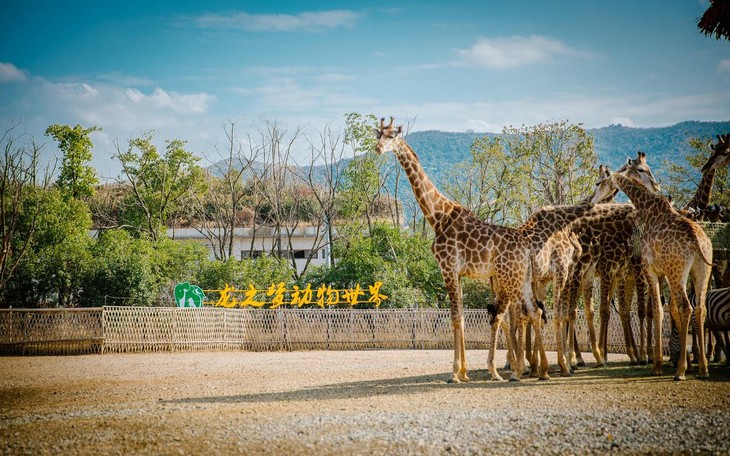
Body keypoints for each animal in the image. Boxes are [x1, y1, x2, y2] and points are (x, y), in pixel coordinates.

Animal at [372, 117, 544, 382]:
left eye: (392, 136)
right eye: (378, 134)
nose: (378, 148)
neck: (437, 216)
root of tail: (526, 247)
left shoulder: (448, 268)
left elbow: (454, 318)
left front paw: (454, 373)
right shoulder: (459, 273)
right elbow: (461, 318)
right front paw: (463, 373)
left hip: (509, 277)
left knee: (517, 314)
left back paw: (513, 370)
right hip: (520, 277)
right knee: (533, 311)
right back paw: (539, 371)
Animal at [584, 166, 712, 380]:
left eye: (599, 182)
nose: (592, 200)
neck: (648, 209)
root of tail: (697, 241)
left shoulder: (650, 269)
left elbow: (658, 310)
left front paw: (657, 363)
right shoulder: (660, 272)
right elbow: (663, 309)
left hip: (678, 272)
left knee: (688, 307)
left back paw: (680, 370)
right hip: (700, 272)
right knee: (700, 309)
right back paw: (702, 368)